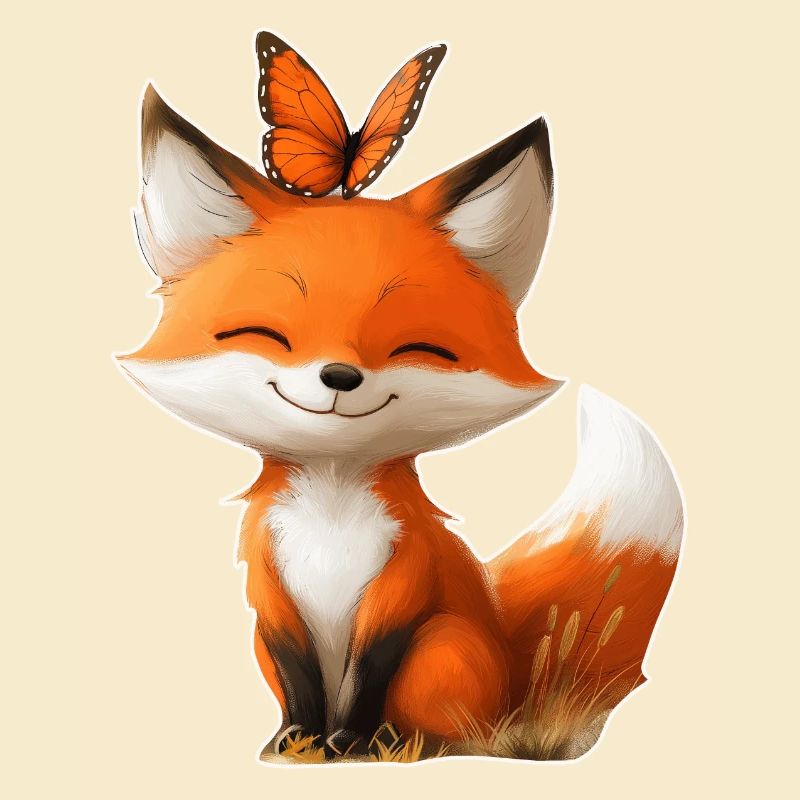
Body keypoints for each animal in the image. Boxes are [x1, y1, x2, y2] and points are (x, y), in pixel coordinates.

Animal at [118, 83, 684, 761]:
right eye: (268, 335)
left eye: (415, 347)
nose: (339, 376)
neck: (332, 507)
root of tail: (510, 673)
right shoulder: (269, 587)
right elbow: (295, 672)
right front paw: (297, 739)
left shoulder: (406, 573)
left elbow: (370, 668)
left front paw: (349, 740)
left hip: (443, 644)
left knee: (460, 728)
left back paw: (402, 739)